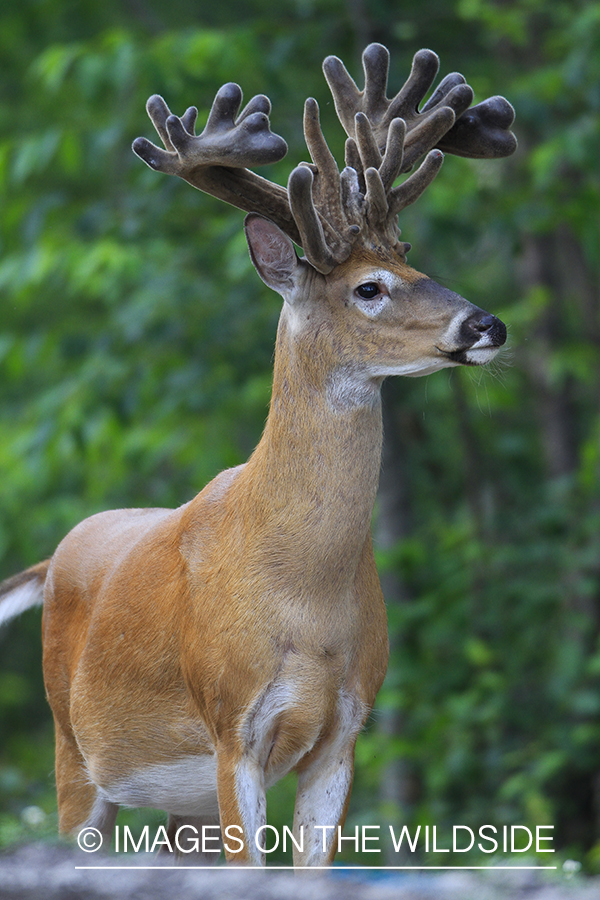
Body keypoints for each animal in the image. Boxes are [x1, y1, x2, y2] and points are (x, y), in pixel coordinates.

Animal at [0, 40, 516, 864]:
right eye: (369, 288)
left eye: (413, 260)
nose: (486, 325)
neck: (303, 595)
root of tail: (54, 558)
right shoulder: (231, 726)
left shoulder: (345, 729)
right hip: (72, 752)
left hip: (175, 809)